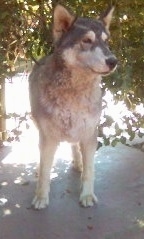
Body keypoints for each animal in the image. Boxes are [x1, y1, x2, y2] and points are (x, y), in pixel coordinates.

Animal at [29, 4, 117, 209]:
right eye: (87, 40)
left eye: (106, 42)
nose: (113, 61)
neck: (75, 92)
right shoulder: (48, 139)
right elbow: (45, 172)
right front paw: (41, 197)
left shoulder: (89, 133)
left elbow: (90, 171)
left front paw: (87, 195)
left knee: (75, 147)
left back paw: (78, 163)